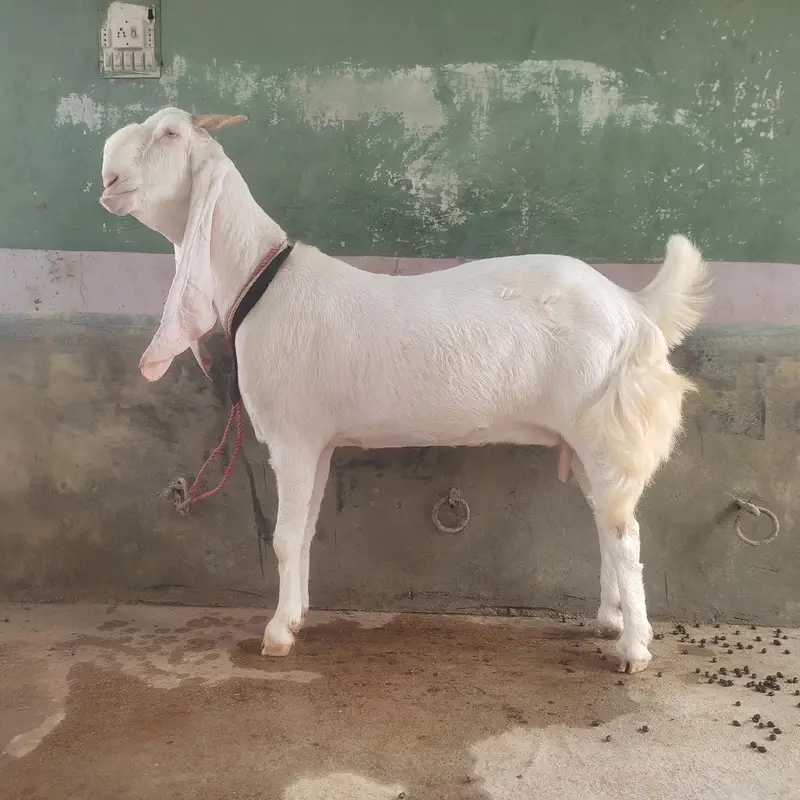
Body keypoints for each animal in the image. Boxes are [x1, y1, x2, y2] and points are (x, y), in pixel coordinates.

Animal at [99, 108, 711, 674]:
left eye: (170, 133)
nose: (107, 178)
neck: (259, 279)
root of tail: (633, 306)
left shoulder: (292, 437)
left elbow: (283, 537)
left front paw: (275, 635)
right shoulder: (319, 441)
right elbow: (305, 532)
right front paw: (296, 617)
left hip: (604, 426)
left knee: (625, 534)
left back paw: (633, 648)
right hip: (586, 433)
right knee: (608, 523)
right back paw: (609, 621)